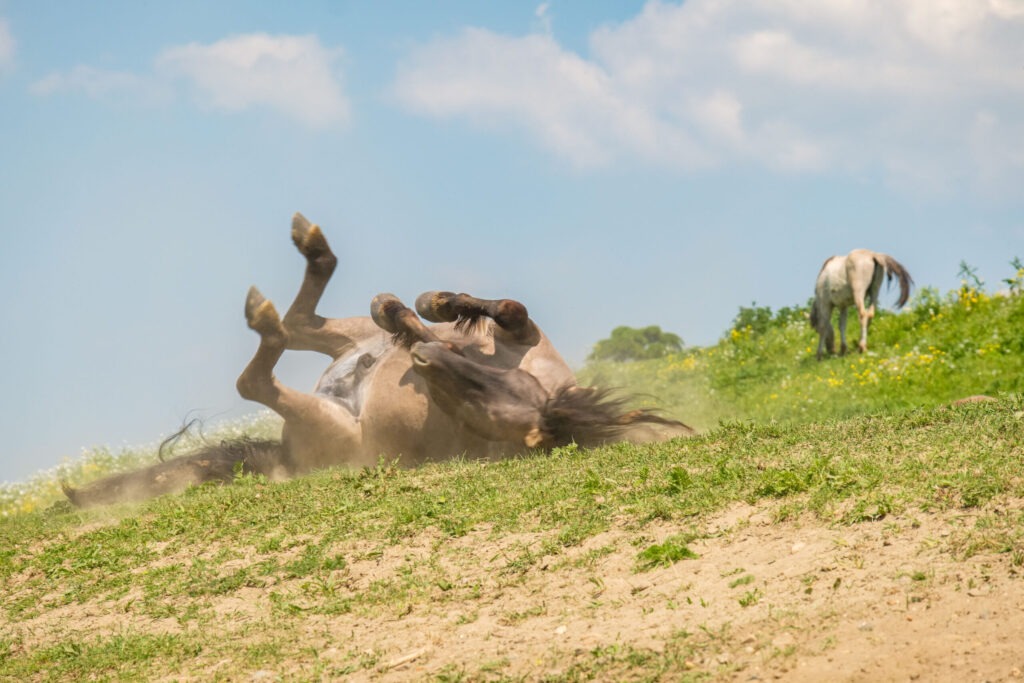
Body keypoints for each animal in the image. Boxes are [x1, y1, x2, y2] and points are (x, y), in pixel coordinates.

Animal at [59, 214, 692, 507]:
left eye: (476, 407)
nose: (428, 357)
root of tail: (285, 455)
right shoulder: (523, 333)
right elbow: (497, 306)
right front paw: (435, 307)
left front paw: (415, 319)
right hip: (342, 341)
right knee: (303, 324)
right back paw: (318, 253)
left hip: (324, 421)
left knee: (257, 375)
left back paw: (272, 308)